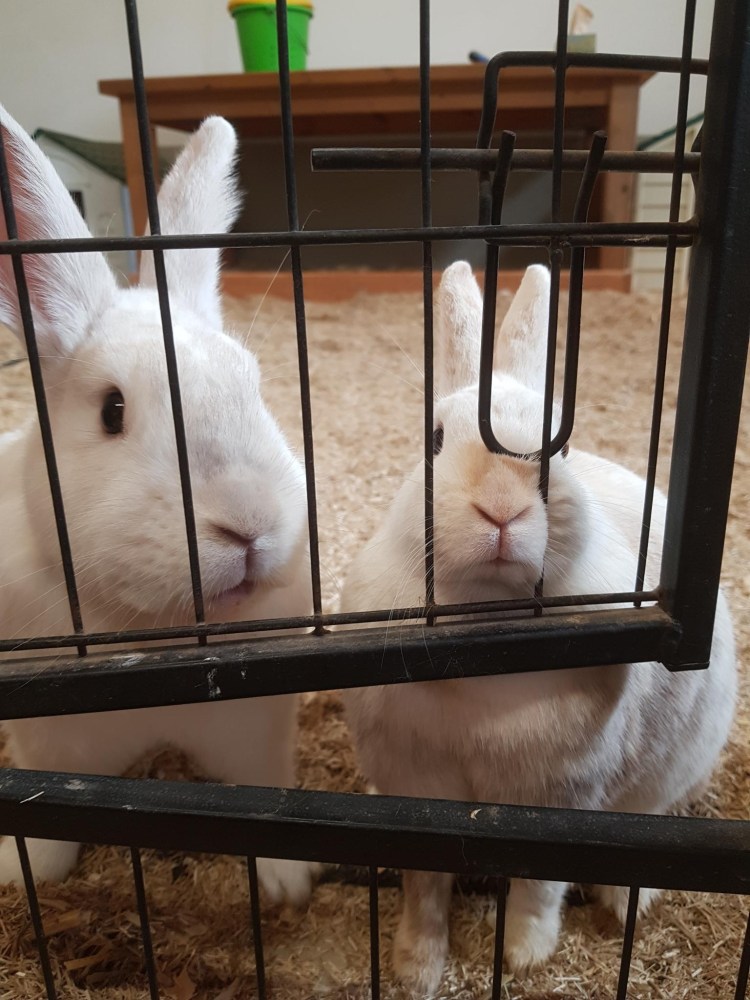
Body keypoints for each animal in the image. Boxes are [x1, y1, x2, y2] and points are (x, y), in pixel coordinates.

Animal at [0, 105, 316, 903]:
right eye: (112, 410)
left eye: (254, 385)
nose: (249, 526)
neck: (157, 637)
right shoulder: (48, 742)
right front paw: (26, 875)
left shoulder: (256, 733)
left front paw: (286, 885)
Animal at [340, 261, 737, 994]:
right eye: (435, 439)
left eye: (565, 444)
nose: (502, 508)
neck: (487, 626)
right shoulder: (418, 788)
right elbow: (425, 888)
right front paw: (416, 967)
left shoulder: (557, 797)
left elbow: (537, 887)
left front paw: (524, 957)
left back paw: (625, 904)